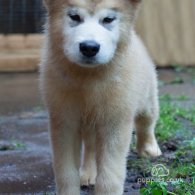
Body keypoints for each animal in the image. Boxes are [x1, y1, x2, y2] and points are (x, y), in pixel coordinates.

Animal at [39, 0, 161, 194]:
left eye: (108, 19)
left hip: (147, 95)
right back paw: (89, 173)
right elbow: (66, 172)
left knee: (147, 121)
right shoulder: (63, 119)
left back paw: (149, 148)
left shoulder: (116, 120)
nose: (89, 47)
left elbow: (110, 175)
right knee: (90, 147)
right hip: (89, 122)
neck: (88, 79)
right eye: (74, 16)